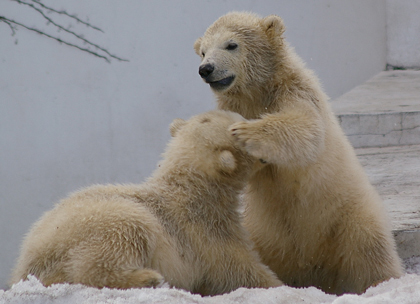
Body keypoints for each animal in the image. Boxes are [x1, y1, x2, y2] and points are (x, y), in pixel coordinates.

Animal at [10, 110, 282, 296]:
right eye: (240, 127)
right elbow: (240, 270)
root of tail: (28, 265)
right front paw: (277, 285)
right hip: (101, 223)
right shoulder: (206, 234)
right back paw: (148, 279)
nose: (260, 125)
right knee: (116, 241)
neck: (193, 190)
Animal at [195, 11, 402, 294]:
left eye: (231, 44)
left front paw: (246, 133)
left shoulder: (295, 91)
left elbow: (305, 128)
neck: (259, 93)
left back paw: (381, 282)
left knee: (369, 249)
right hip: (264, 235)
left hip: (346, 217)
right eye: (203, 51)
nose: (206, 69)